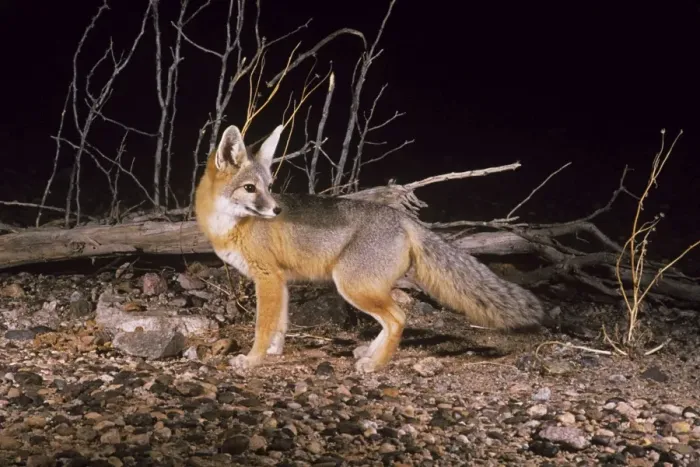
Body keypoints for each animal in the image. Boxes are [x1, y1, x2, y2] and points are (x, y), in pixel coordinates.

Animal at [194, 124, 544, 373]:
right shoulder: (279, 281)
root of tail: (403, 219)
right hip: (364, 287)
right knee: (391, 321)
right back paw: (370, 354)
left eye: (268, 188)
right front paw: (272, 353)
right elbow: (279, 325)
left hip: (352, 285)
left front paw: (252, 360)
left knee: (398, 318)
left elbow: (263, 326)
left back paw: (376, 365)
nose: (276, 210)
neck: (229, 226)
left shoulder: (267, 278)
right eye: (250, 188)